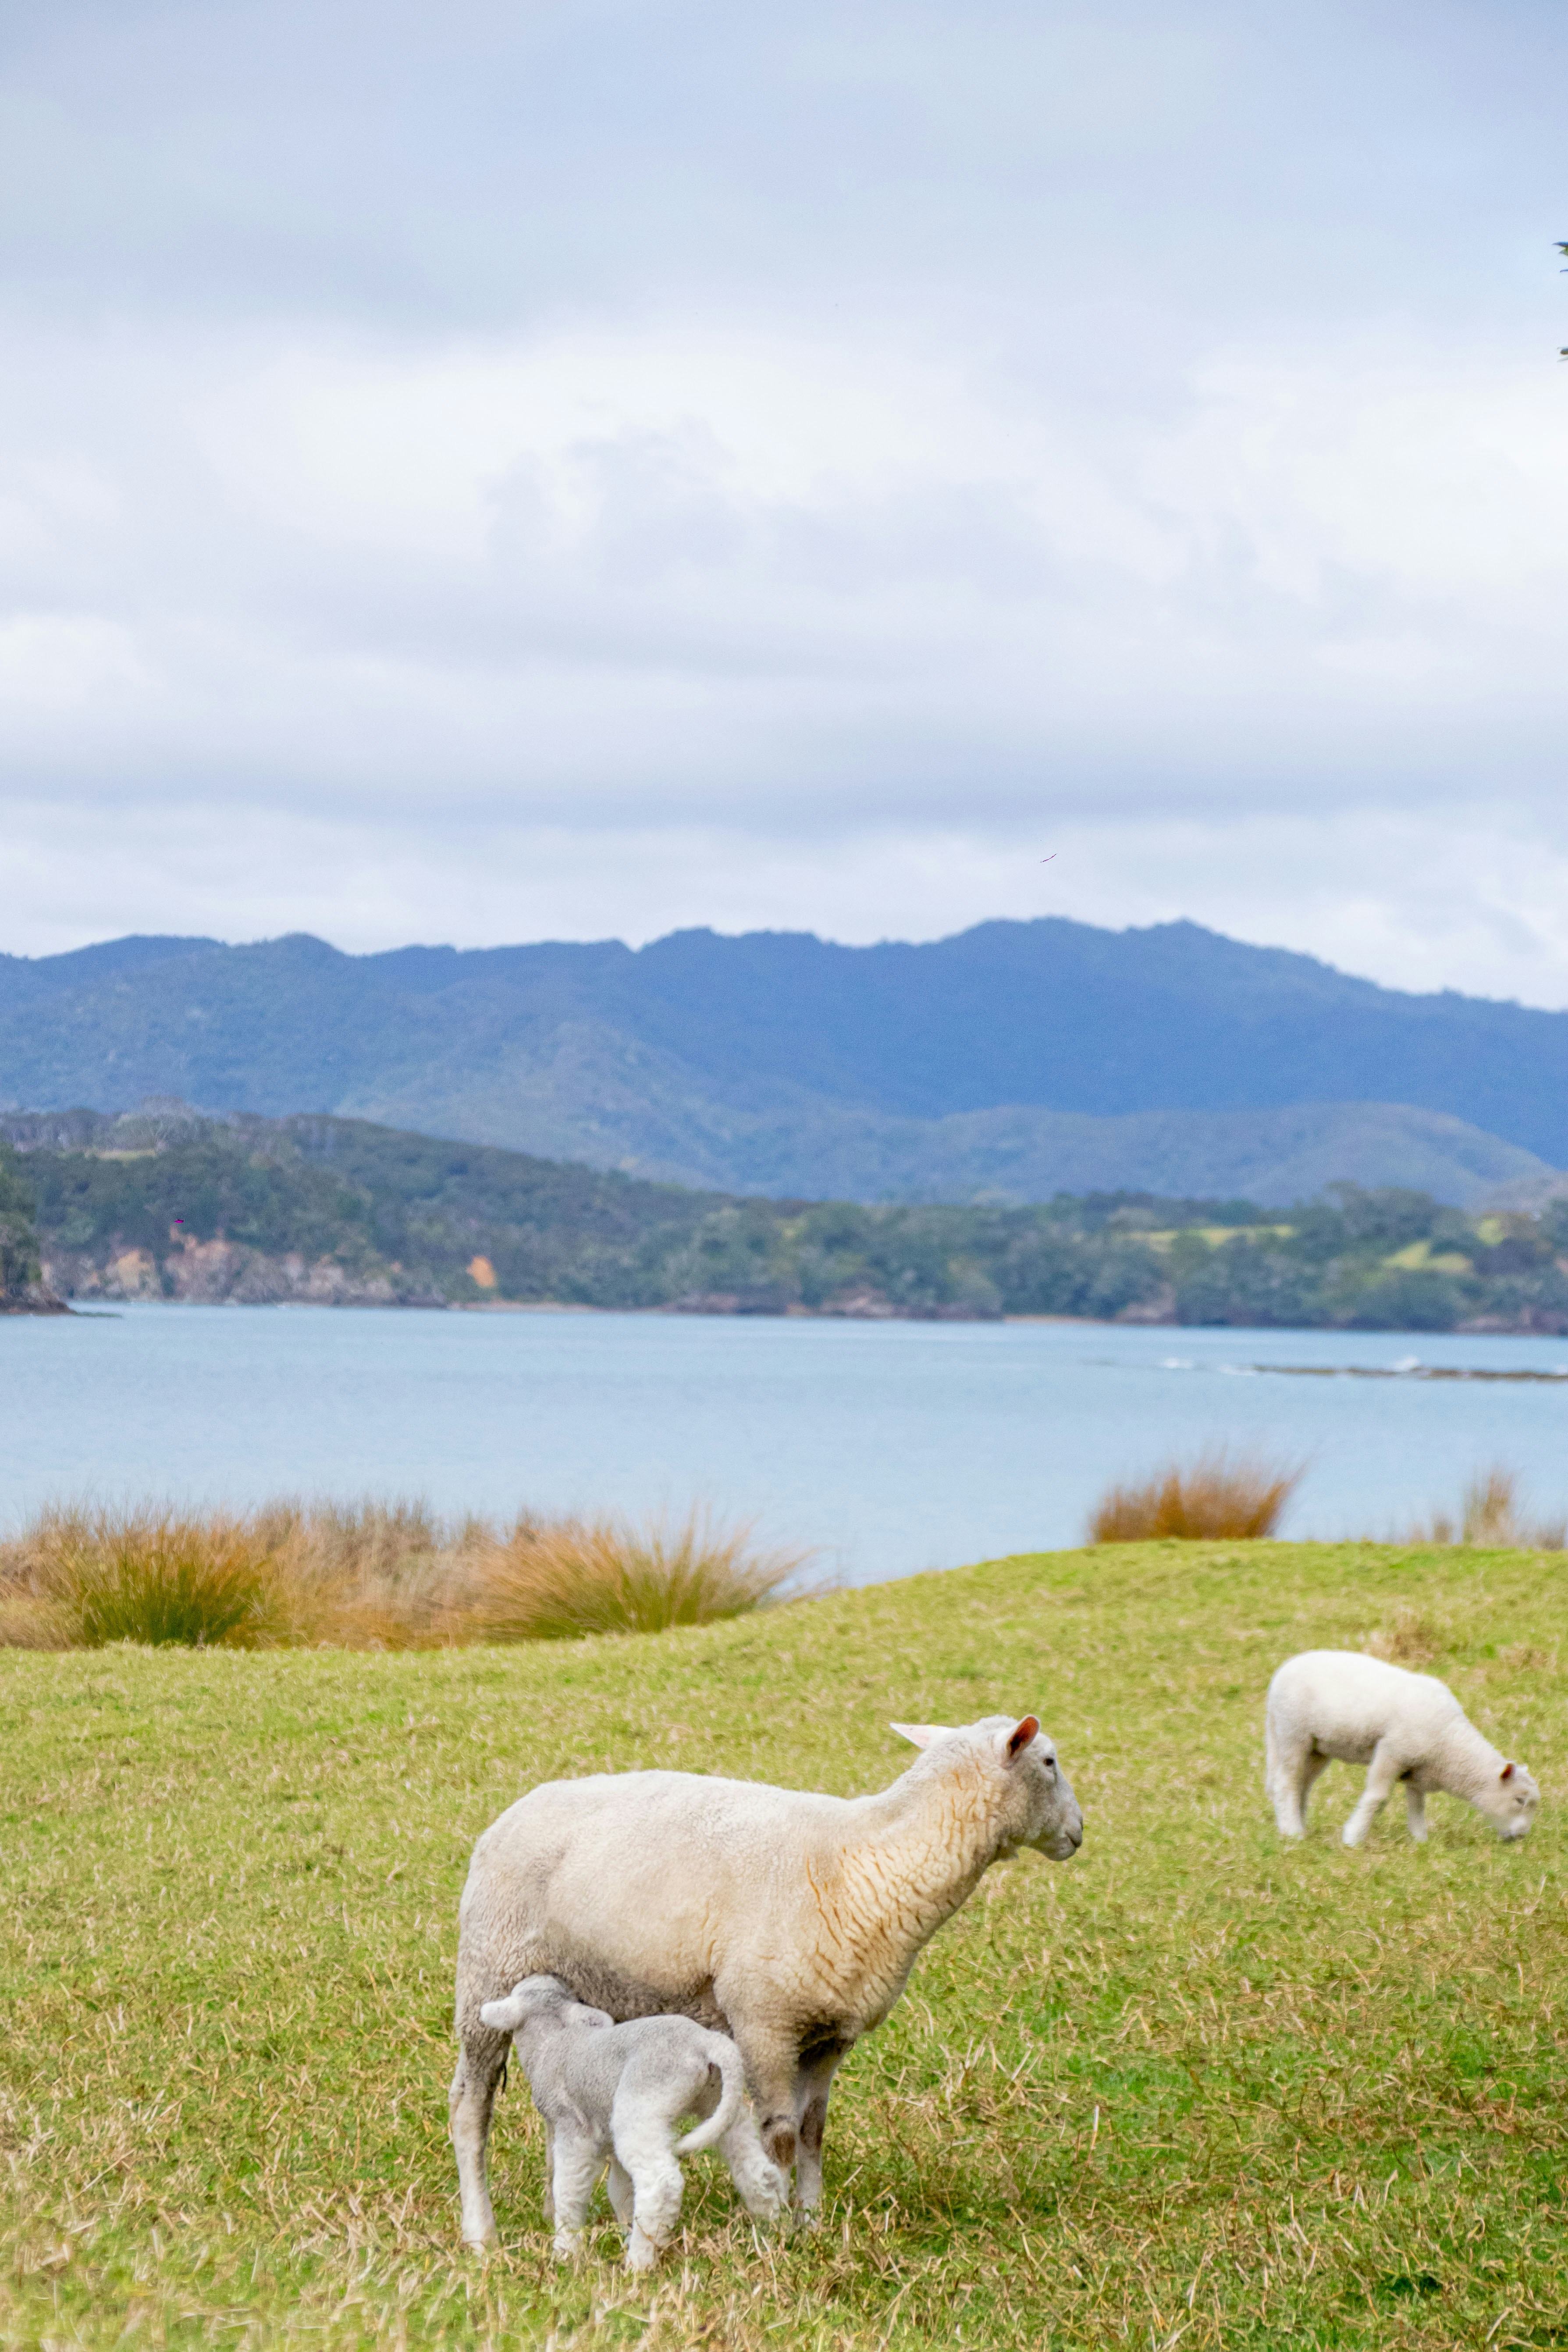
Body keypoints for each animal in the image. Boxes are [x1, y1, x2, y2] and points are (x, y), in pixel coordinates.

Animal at [478, 1974, 788, 2269]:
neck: (551, 2040)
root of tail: (705, 2042)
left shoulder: (572, 2129)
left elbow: (567, 2191)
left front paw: (566, 2251)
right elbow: (620, 2190)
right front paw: (625, 2228)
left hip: (642, 2104)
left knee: (661, 2185)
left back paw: (640, 2261)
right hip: (717, 2100)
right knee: (753, 2164)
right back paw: (771, 2225)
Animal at [1265, 1649, 1540, 1848]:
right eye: (1519, 1800)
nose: (1522, 1837)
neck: (1450, 1746)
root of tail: (1280, 1674)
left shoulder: (1417, 1770)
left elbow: (1417, 1805)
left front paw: (1420, 1842)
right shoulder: (1393, 1752)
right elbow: (1378, 1798)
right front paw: (1353, 1838)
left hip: (1318, 1748)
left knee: (1302, 1785)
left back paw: (1298, 1827)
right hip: (1293, 1734)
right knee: (1286, 1783)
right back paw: (1293, 1832)